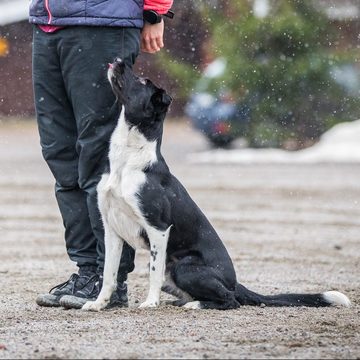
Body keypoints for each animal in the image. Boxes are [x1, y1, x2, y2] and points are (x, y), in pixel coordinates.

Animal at [81, 58, 348, 310]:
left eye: (144, 81)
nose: (118, 61)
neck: (127, 161)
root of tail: (234, 282)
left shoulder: (158, 227)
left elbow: (153, 273)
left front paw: (150, 303)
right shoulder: (111, 229)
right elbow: (108, 273)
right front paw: (99, 304)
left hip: (184, 267)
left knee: (230, 300)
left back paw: (195, 305)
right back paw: (182, 302)